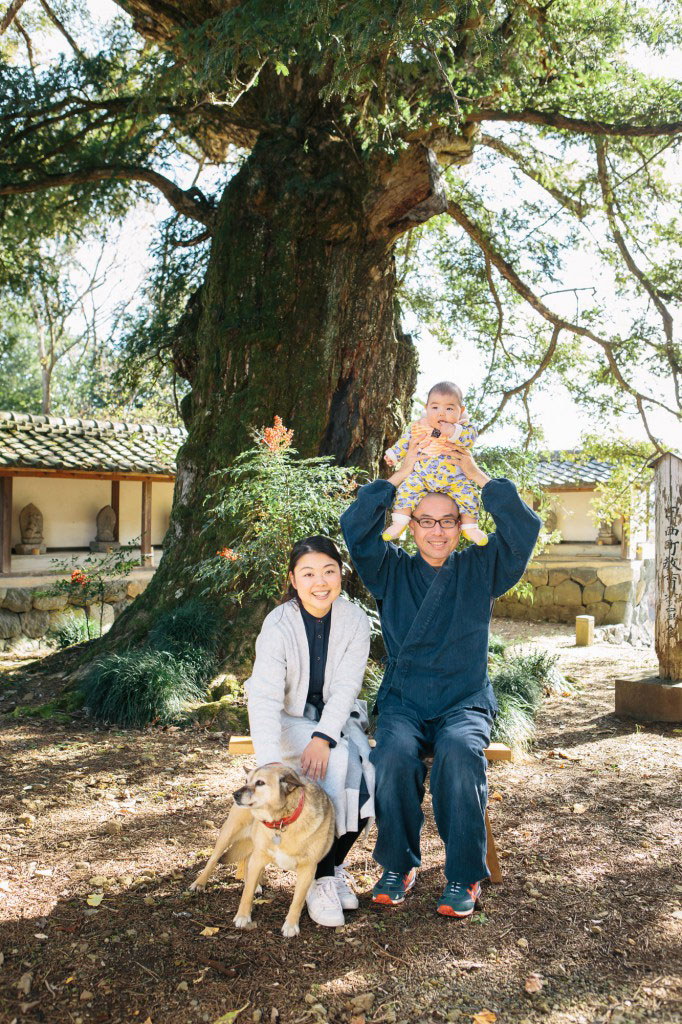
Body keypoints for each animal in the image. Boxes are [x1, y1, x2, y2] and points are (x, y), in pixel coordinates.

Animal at [189, 761, 333, 937]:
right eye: (246, 781)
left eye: (260, 783)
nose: (235, 794)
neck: (282, 822)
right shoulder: (259, 857)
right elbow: (246, 893)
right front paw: (243, 916)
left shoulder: (308, 869)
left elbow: (297, 901)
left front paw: (291, 924)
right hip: (228, 836)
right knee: (214, 860)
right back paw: (199, 883)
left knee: (246, 861)